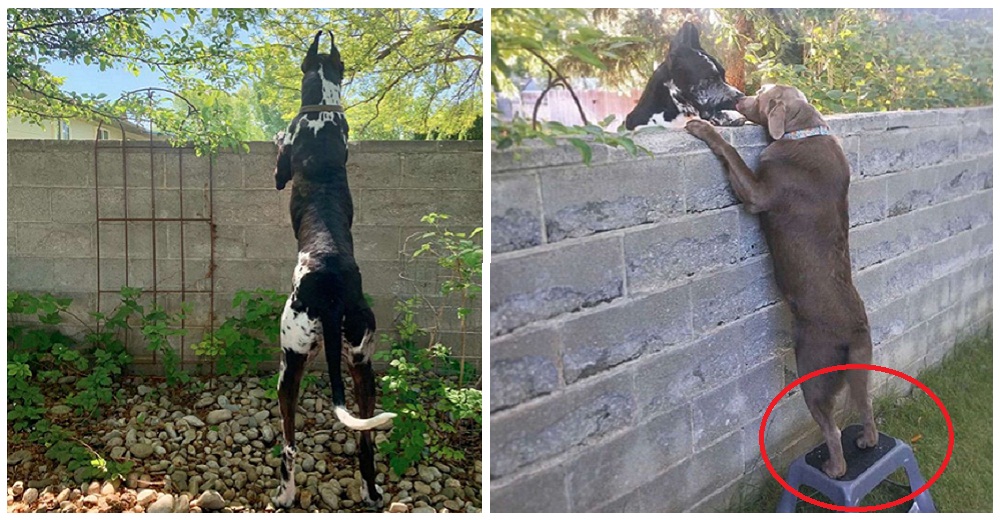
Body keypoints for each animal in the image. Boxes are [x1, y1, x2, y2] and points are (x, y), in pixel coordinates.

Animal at [276, 30, 400, 510]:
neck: (322, 113)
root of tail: (329, 291)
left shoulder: (285, 150)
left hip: (290, 362)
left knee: (289, 444)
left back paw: (285, 494)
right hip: (364, 364)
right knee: (366, 442)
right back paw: (370, 490)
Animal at [688, 85, 876, 480]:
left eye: (761, 94)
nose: (738, 98)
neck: (803, 130)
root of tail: (854, 331)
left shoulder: (758, 193)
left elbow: (730, 152)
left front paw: (701, 127)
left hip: (812, 370)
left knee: (831, 429)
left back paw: (834, 468)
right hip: (861, 368)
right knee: (866, 406)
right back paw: (867, 441)